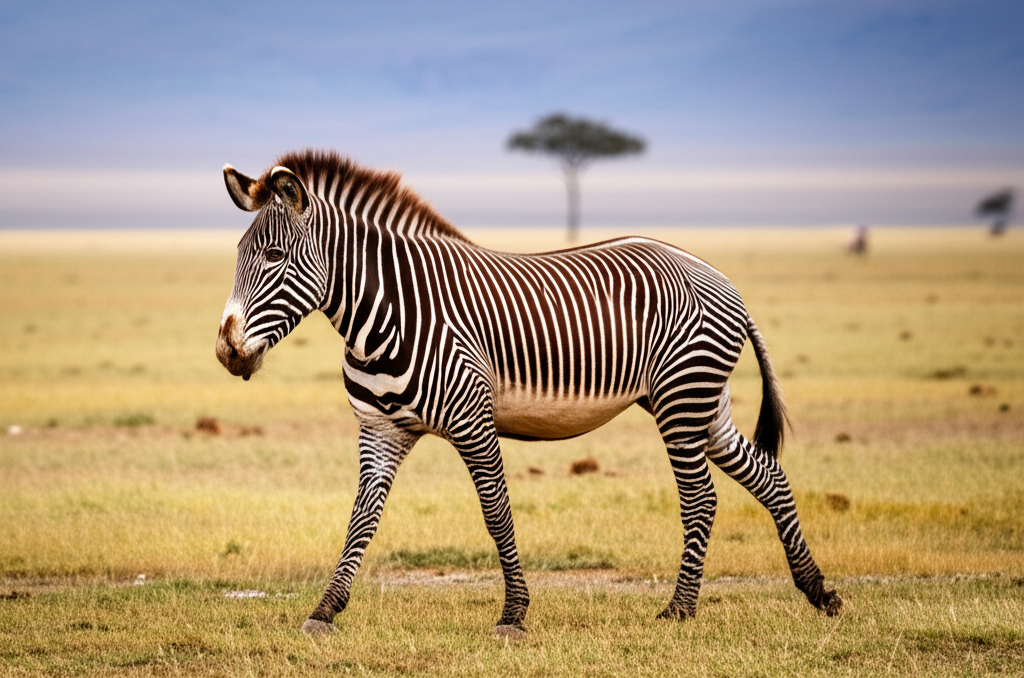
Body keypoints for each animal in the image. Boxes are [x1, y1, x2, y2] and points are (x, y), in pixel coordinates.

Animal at [215, 149, 842, 636]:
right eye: (238, 257)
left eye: (274, 257)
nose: (226, 350)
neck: (384, 318)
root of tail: (717, 274)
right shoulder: (381, 429)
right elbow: (361, 518)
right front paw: (325, 609)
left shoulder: (472, 419)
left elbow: (497, 513)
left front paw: (514, 614)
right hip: (705, 405)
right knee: (769, 476)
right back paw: (818, 591)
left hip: (682, 399)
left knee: (702, 499)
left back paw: (680, 610)